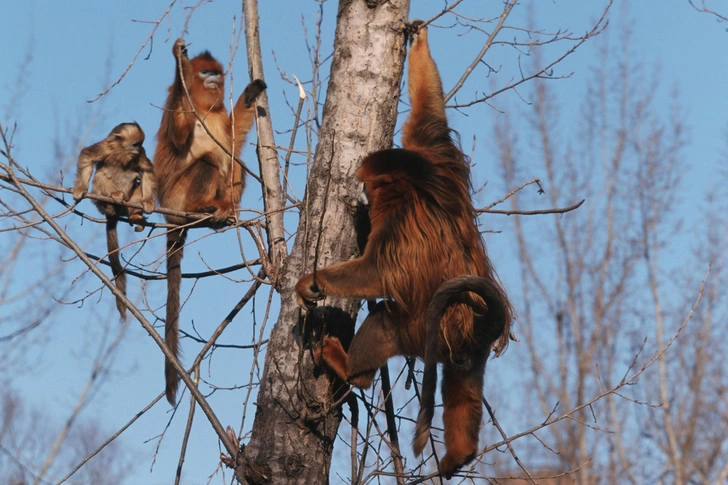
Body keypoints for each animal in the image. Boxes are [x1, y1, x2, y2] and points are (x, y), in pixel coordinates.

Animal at [72, 121, 156, 320]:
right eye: (135, 144)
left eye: (140, 145)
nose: (139, 149)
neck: (121, 153)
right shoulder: (104, 148)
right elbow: (87, 156)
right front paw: (80, 188)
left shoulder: (140, 156)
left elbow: (146, 170)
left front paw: (149, 201)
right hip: (99, 202)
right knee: (100, 175)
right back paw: (114, 199)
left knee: (137, 181)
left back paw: (134, 214)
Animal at [294, 21, 512, 476]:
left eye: (370, 183)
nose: (362, 190)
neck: (415, 183)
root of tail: (475, 318)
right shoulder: (436, 156)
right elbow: (428, 116)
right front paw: (421, 42)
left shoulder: (397, 219)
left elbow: (375, 270)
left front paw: (311, 282)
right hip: (465, 347)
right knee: (463, 385)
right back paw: (461, 454)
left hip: (418, 330)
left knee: (385, 324)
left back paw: (352, 370)